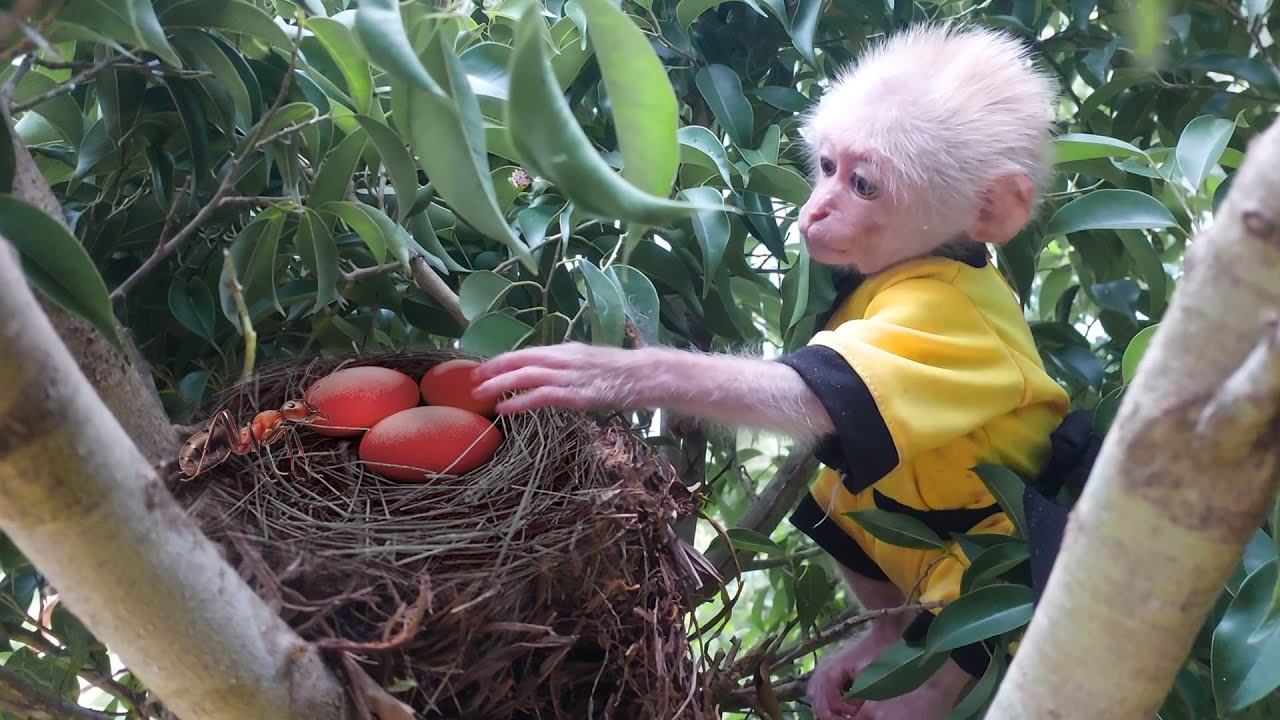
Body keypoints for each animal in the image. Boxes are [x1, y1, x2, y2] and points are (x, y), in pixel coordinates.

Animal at [473, 22, 1070, 719]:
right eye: (828, 168)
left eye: (863, 186)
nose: (816, 211)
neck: (924, 259)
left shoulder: (941, 320)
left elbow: (812, 395)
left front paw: (614, 372)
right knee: (831, 510)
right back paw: (882, 634)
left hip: (987, 575)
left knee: (953, 631)